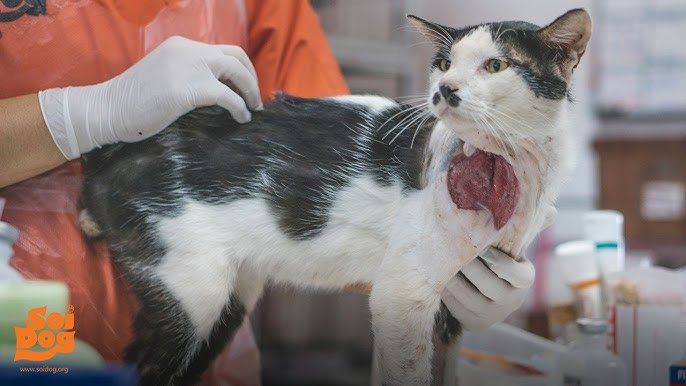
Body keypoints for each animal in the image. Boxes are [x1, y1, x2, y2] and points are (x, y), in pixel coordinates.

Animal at [80, 8, 592, 382]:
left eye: (496, 65)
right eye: (445, 65)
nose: (444, 90)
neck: (511, 164)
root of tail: (110, 158)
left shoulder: (454, 305)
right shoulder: (401, 294)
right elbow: (407, 373)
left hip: (230, 297)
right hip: (192, 288)